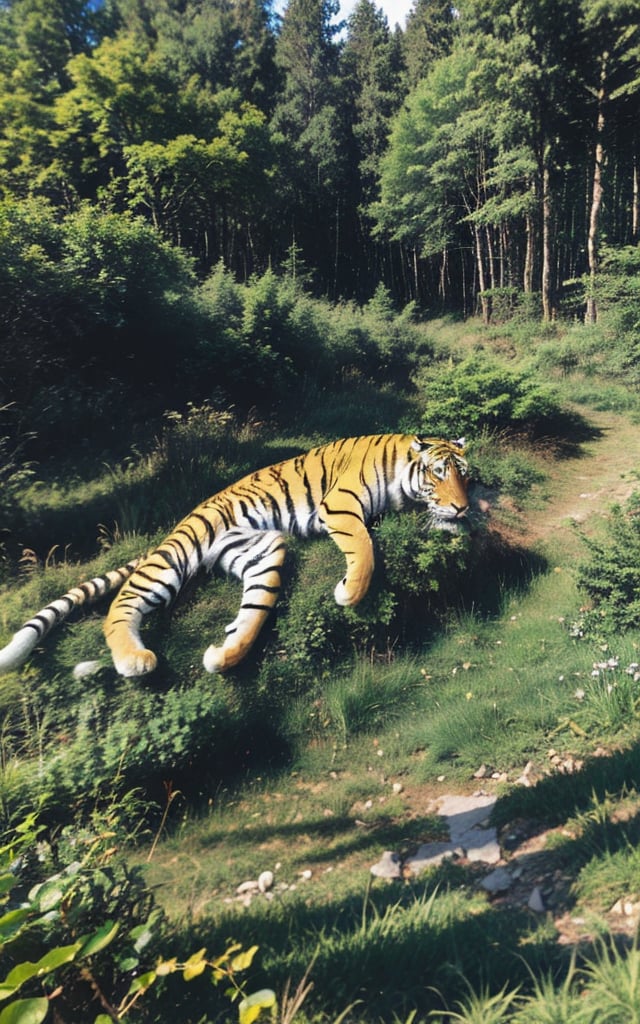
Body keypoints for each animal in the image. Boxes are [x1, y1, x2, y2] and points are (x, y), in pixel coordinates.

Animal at [0, 434, 468, 679]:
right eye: (438, 474)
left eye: (465, 476)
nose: (462, 507)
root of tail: (183, 520)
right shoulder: (339, 504)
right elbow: (364, 545)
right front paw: (349, 593)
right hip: (178, 554)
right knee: (121, 603)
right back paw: (135, 659)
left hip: (262, 549)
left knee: (253, 608)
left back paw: (222, 655)